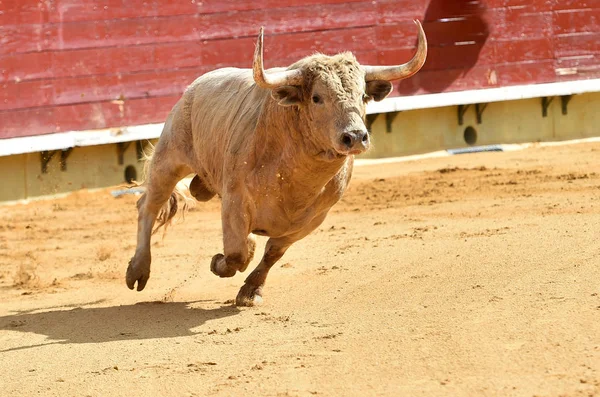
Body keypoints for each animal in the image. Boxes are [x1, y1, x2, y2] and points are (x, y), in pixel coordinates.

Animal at [126, 20, 426, 306]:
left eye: (363, 96)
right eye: (317, 98)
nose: (354, 136)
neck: (295, 176)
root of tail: (196, 86)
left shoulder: (314, 218)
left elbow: (272, 252)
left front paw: (251, 291)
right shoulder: (234, 201)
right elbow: (236, 253)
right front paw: (220, 262)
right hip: (169, 156)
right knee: (149, 205)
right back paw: (137, 271)